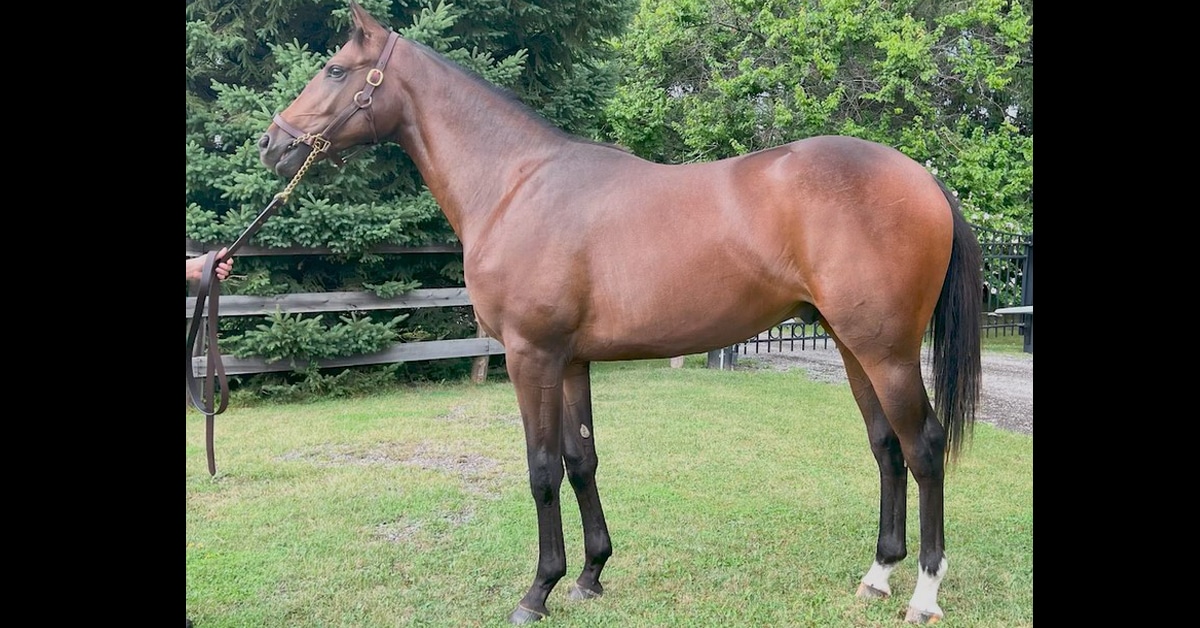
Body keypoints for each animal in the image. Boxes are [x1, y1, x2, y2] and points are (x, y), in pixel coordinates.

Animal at [257, 2, 983, 624]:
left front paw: (537, 591)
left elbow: (542, 469)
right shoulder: (571, 360)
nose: (271, 144)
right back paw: (877, 575)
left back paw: (923, 594)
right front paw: (589, 575)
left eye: (335, 69)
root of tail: (924, 177)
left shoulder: (531, 355)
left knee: (923, 446)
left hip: (886, 351)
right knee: (886, 447)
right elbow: (582, 461)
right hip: (853, 345)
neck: (515, 183)